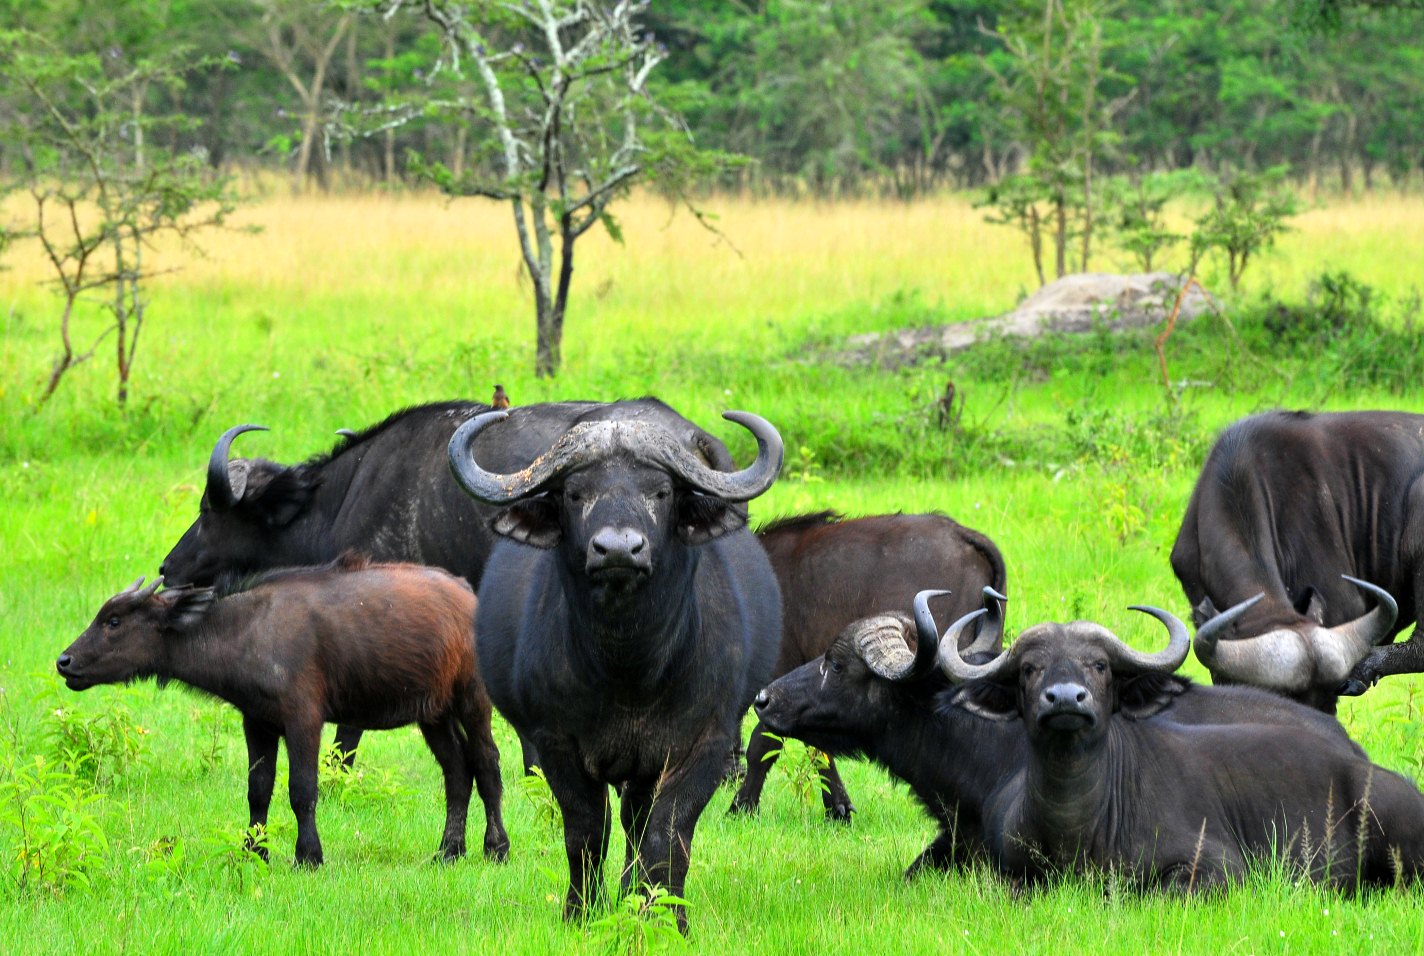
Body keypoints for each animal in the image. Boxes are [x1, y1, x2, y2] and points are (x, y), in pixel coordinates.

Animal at [57, 554, 508, 866]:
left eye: (114, 621)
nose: (64, 661)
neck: (247, 631)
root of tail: (468, 595)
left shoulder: (303, 720)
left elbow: (302, 790)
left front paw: (308, 855)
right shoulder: (257, 722)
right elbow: (258, 790)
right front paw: (254, 851)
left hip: (472, 700)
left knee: (486, 764)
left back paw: (496, 847)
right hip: (433, 714)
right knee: (457, 772)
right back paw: (449, 850)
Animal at [447, 408, 783, 931]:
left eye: (661, 492)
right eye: (575, 493)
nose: (620, 550)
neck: (630, 667)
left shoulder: (704, 742)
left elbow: (667, 835)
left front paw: (666, 918)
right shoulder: (555, 742)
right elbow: (587, 830)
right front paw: (582, 911)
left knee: (639, 823)